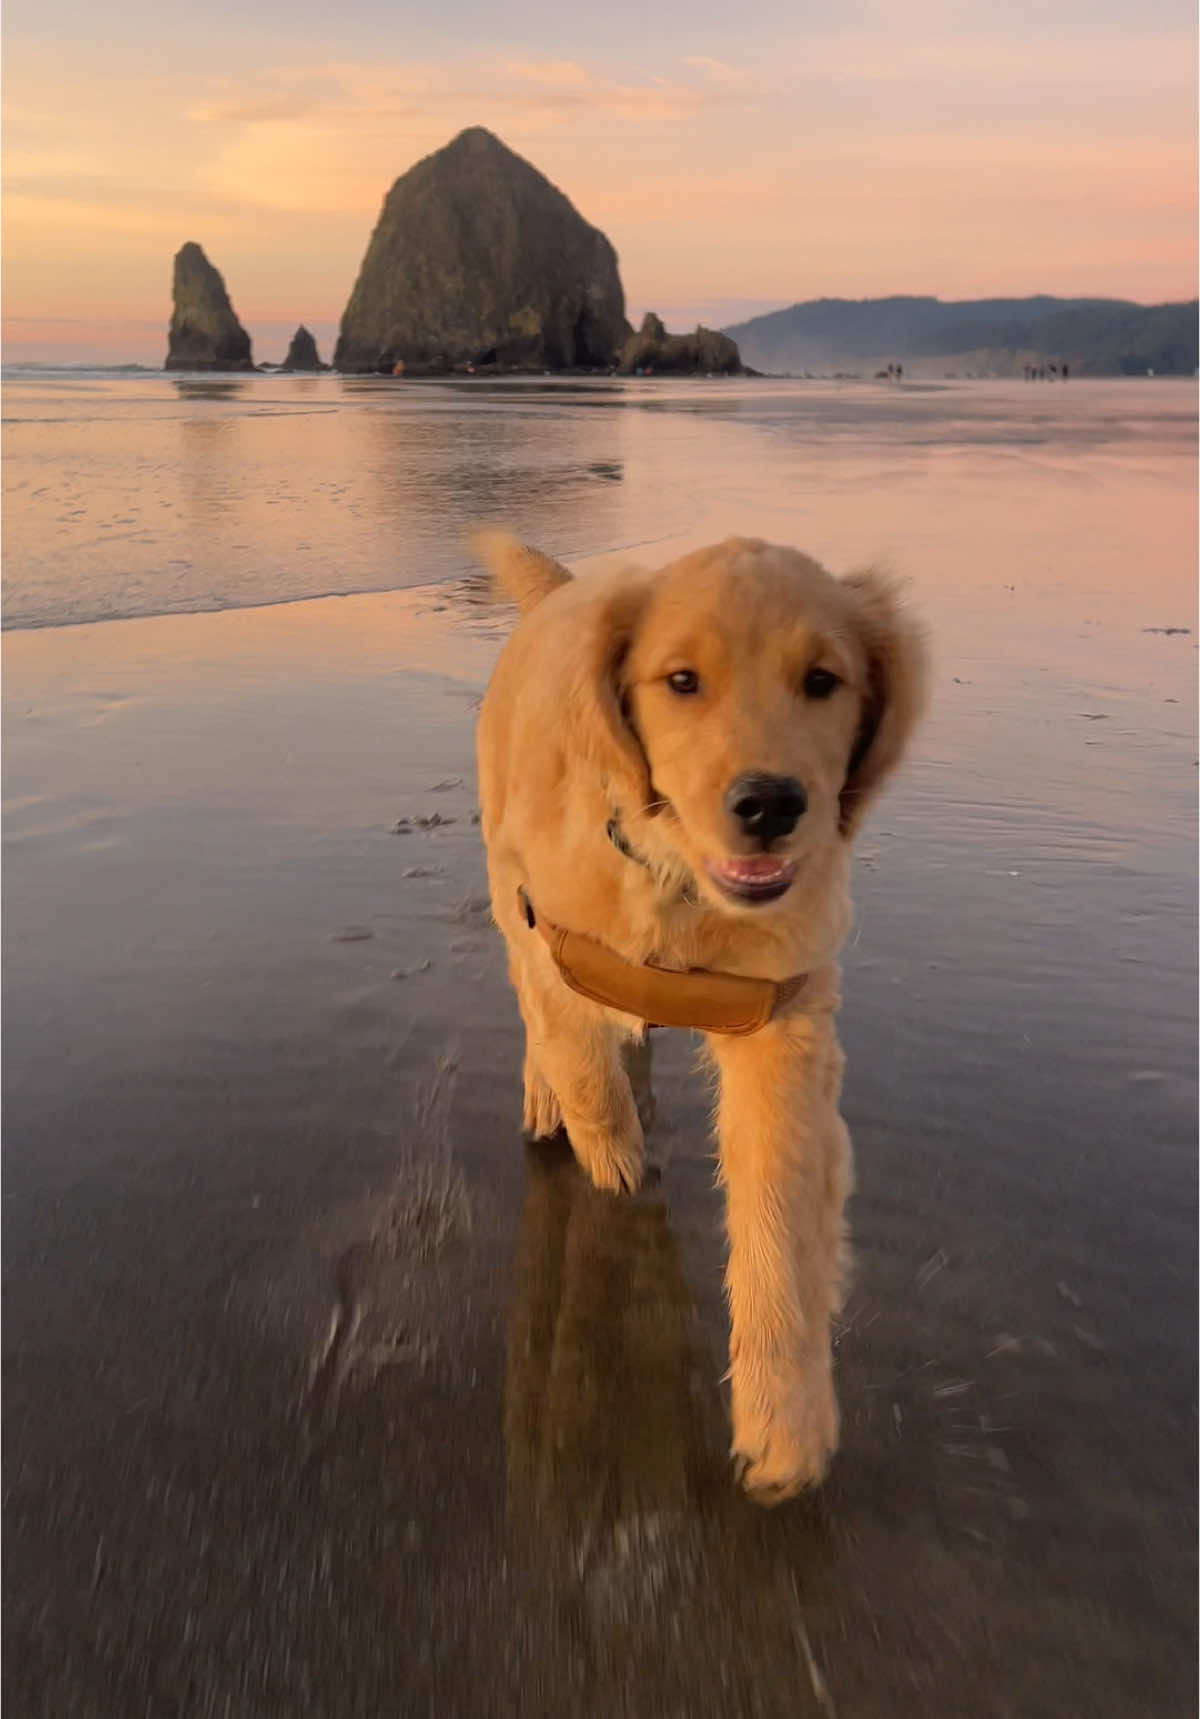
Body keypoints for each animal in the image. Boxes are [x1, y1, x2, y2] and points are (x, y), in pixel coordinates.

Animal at [471, 529, 921, 1498]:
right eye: (682, 680)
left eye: (823, 680)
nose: (771, 804)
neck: (674, 877)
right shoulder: (550, 930)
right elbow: (582, 1065)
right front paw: (612, 1156)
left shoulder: (782, 1026)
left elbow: (779, 1219)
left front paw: (785, 1420)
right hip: (502, 879)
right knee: (538, 1011)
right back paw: (548, 1096)